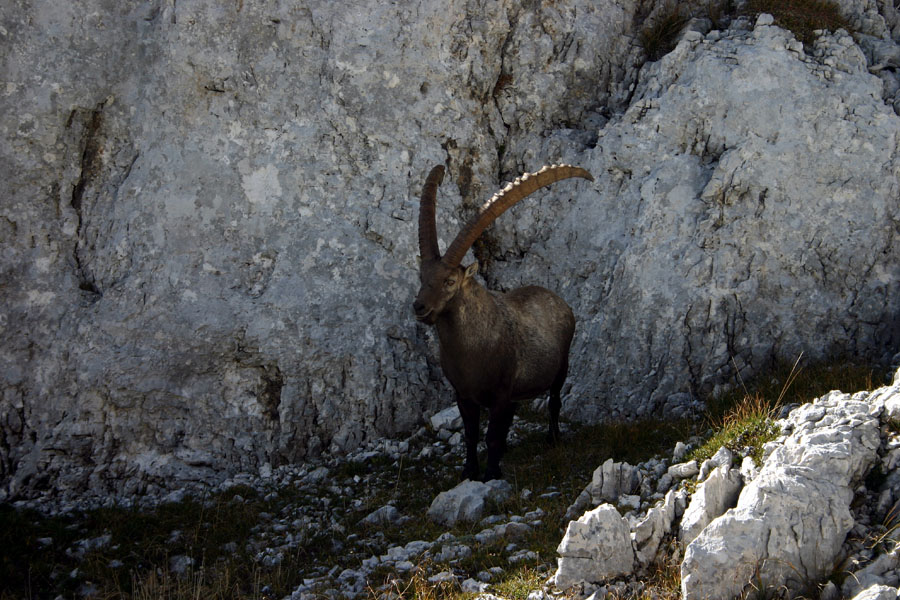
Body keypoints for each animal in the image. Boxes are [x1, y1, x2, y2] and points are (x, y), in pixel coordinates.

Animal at [413, 164, 593, 481]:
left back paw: (553, 439)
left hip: (561, 367)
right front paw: (470, 471)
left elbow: (491, 436)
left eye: (449, 281)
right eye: (422, 277)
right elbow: (472, 435)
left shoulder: (499, 394)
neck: (471, 350)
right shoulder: (464, 395)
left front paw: (490, 473)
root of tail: (556, 298)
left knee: (554, 402)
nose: (419, 307)